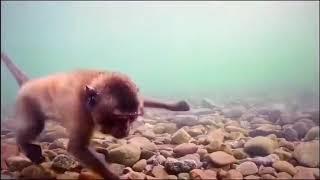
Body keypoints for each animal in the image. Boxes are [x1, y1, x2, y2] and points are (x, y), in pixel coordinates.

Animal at [0, 52, 190, 179]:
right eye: (120, 118)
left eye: (132, 117)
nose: (126, 130)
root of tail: (30, 82)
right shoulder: (79, 113)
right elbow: (77, 148)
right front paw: (114, 177)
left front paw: (178, 105)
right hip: (27, 101)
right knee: (34, 126)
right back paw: (24, 144)